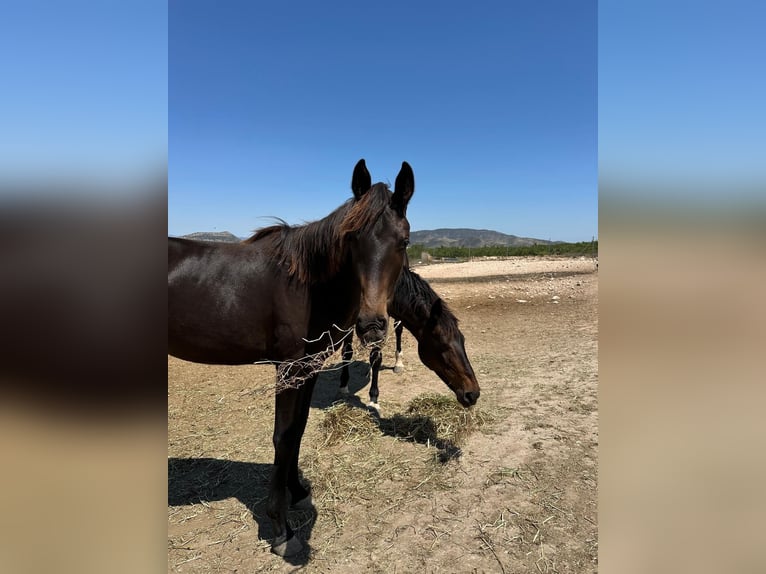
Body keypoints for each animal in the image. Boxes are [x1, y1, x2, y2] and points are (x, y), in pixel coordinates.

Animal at [169, 159, 418, 557]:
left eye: (404, 241)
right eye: (351, 240)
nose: (371, 325)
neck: (306, 284)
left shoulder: (308, 368)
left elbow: (298, 429)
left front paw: (298, 491)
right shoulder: (288, 369)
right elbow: (283, 436)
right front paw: (281, 528)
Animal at [338, 264, 480, 411]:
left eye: (463, 340)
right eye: (443, 345)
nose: (472, 394)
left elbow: (376, 356)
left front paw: (373, 399)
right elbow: (348, 352)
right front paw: (344, 386)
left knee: (398, 329)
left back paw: (398, 363)